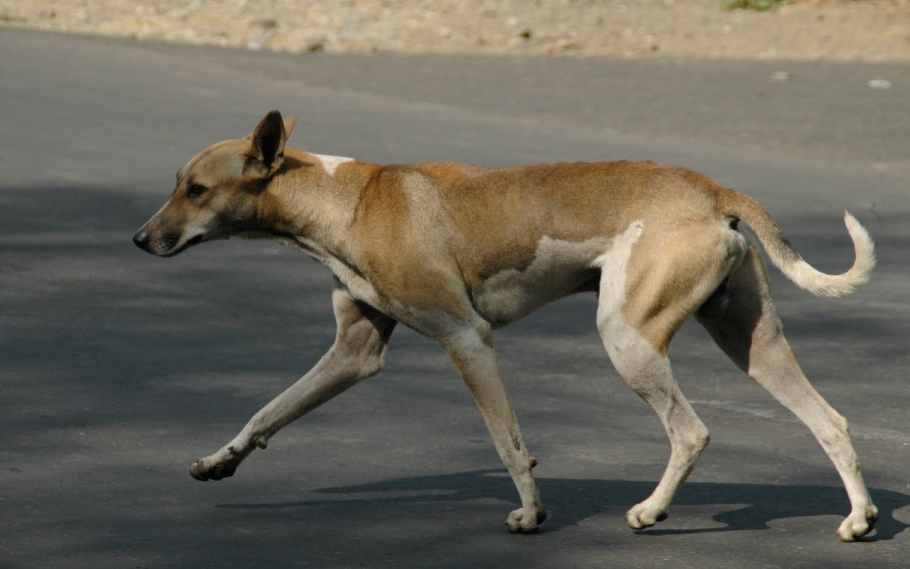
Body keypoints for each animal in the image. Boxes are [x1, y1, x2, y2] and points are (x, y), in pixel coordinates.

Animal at [132, 108, 880, 540]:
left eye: (197, 190)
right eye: (176, 183)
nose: (141, 239)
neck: (343, 199)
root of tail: (711, 189)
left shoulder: (467, 340)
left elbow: (509, 443)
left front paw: (531, 513)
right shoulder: (353, 353)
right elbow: (268, 411)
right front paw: (219, 461)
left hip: (629, 338)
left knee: (691, 431)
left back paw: (651, 510)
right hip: (750, 342)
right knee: (831, 421)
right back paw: (857, 517)